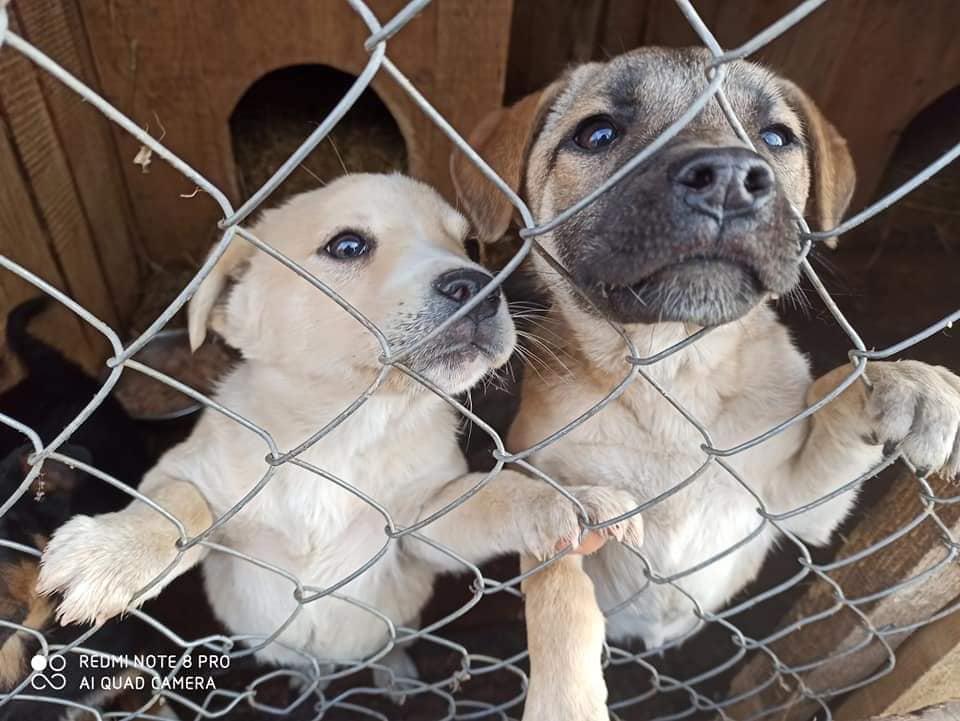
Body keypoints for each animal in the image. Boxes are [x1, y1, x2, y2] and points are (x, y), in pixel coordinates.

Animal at [37, 173, 640, 680]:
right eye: (347, 246)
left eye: (470, 245)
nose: (481, 288)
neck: (342, 432)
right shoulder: (183, 470)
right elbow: (179, 505)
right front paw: (114, 553)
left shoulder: (421, 524)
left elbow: (499, 495)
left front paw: (569, 500)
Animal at [452, 47, 960, 716]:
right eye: (597, 134)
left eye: (776, 138)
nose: (727, 177)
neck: (671, 373)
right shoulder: (553, 498)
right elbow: (560, 594)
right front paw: (566, 699)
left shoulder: (794, 508)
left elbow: (837, 396)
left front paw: (908, 382)